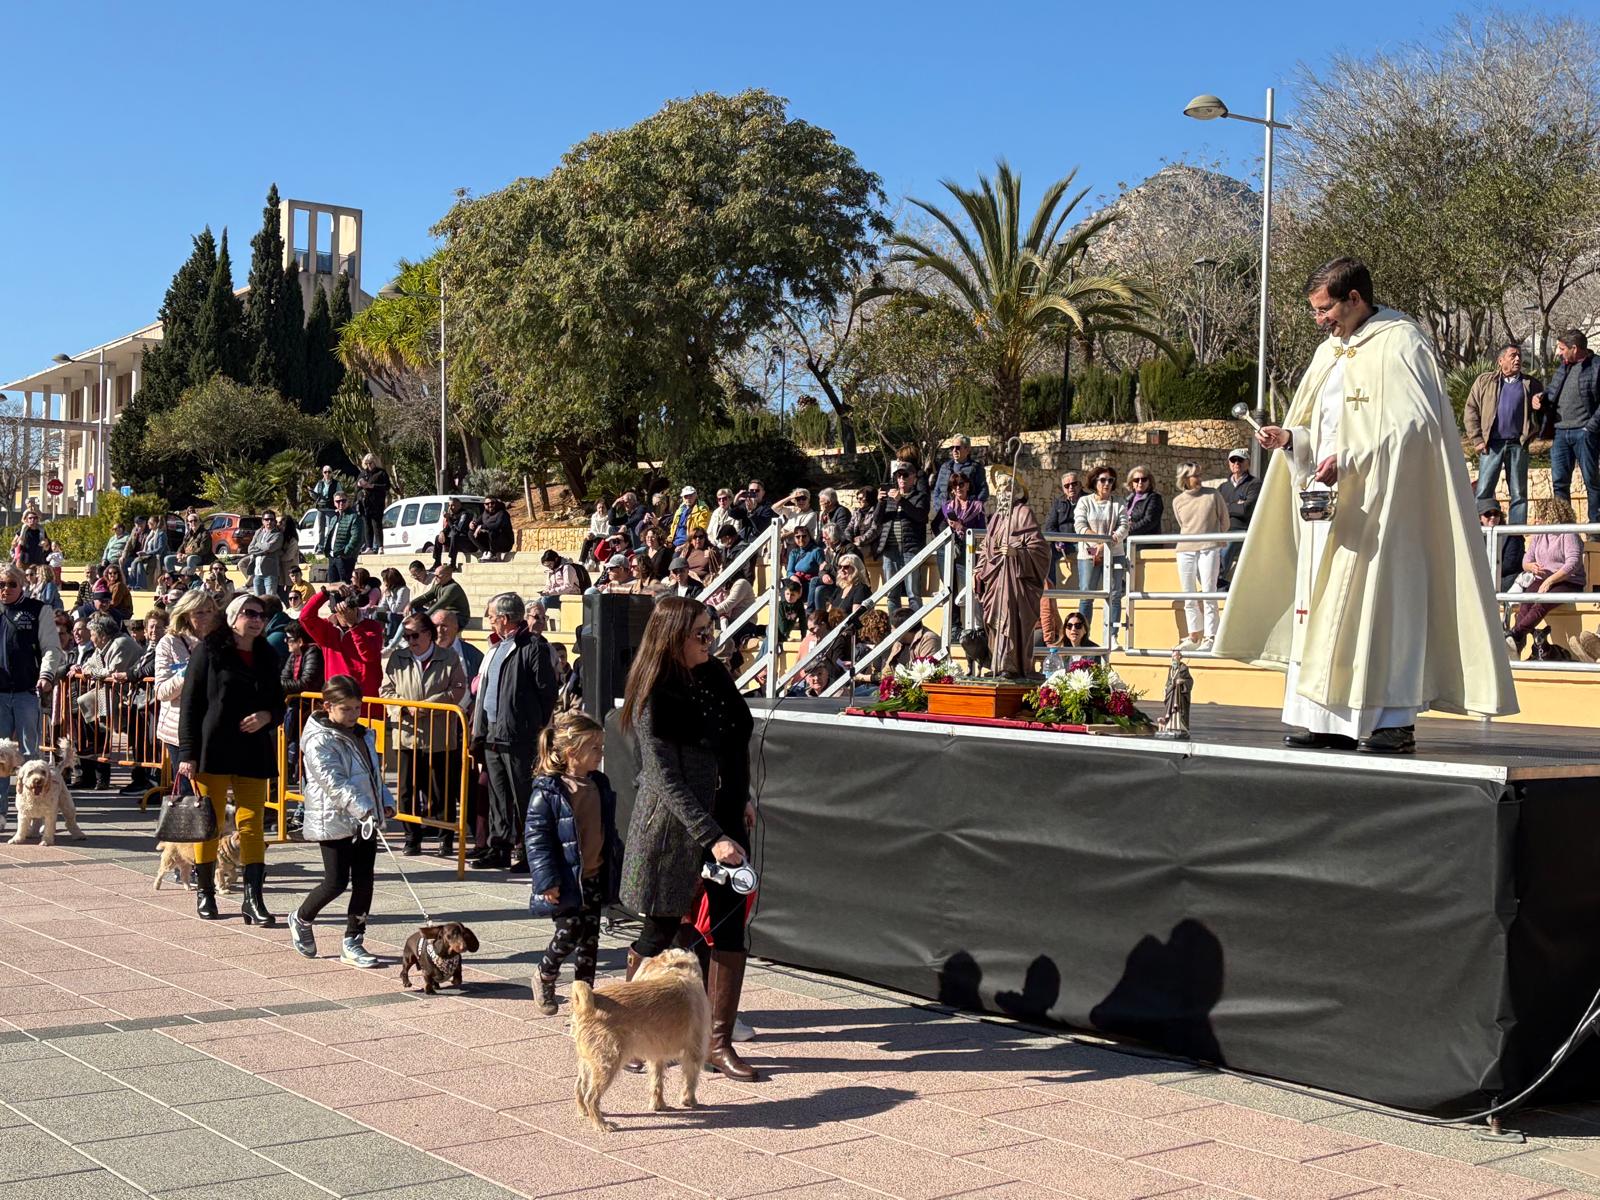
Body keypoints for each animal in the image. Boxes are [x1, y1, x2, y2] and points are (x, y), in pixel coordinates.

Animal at [569, 947, 707, 1139]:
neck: (676, 970)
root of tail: (587, 1006)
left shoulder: (657, 1056)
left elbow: (657, 1081)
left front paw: (659, 1105)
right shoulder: (694, 1052)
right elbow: (691, 1079)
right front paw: (690, 1101)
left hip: (589, 1061)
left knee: (579, 1086)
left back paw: (583, 1111)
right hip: (608, 1062)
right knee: (592, 1097)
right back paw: (601, 1124)